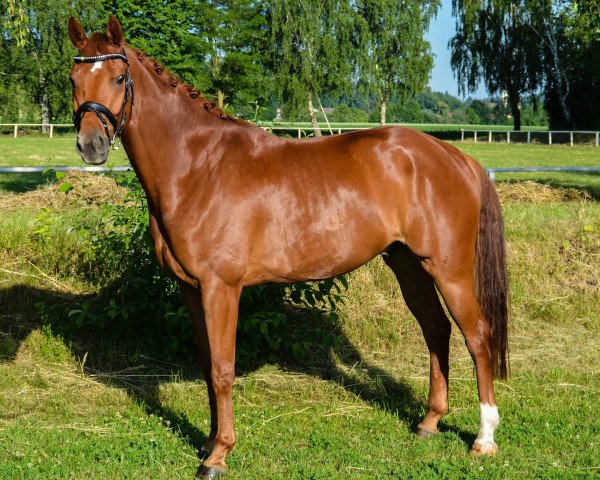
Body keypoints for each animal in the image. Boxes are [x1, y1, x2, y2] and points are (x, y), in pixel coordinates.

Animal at [67, 15, 506, 480]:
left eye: (118, 77)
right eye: (74, 79)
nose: (91, 145)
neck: (196, 167)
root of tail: (454, 156)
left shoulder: (221, 288)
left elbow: (222, 369)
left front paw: (219, 455)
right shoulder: (190, 288)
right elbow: (206, 364)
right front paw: (207, 443)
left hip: (450, 270)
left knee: (477, 336)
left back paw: (484, 438)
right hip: (408, 265)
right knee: (436, 330)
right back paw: (429, 422)